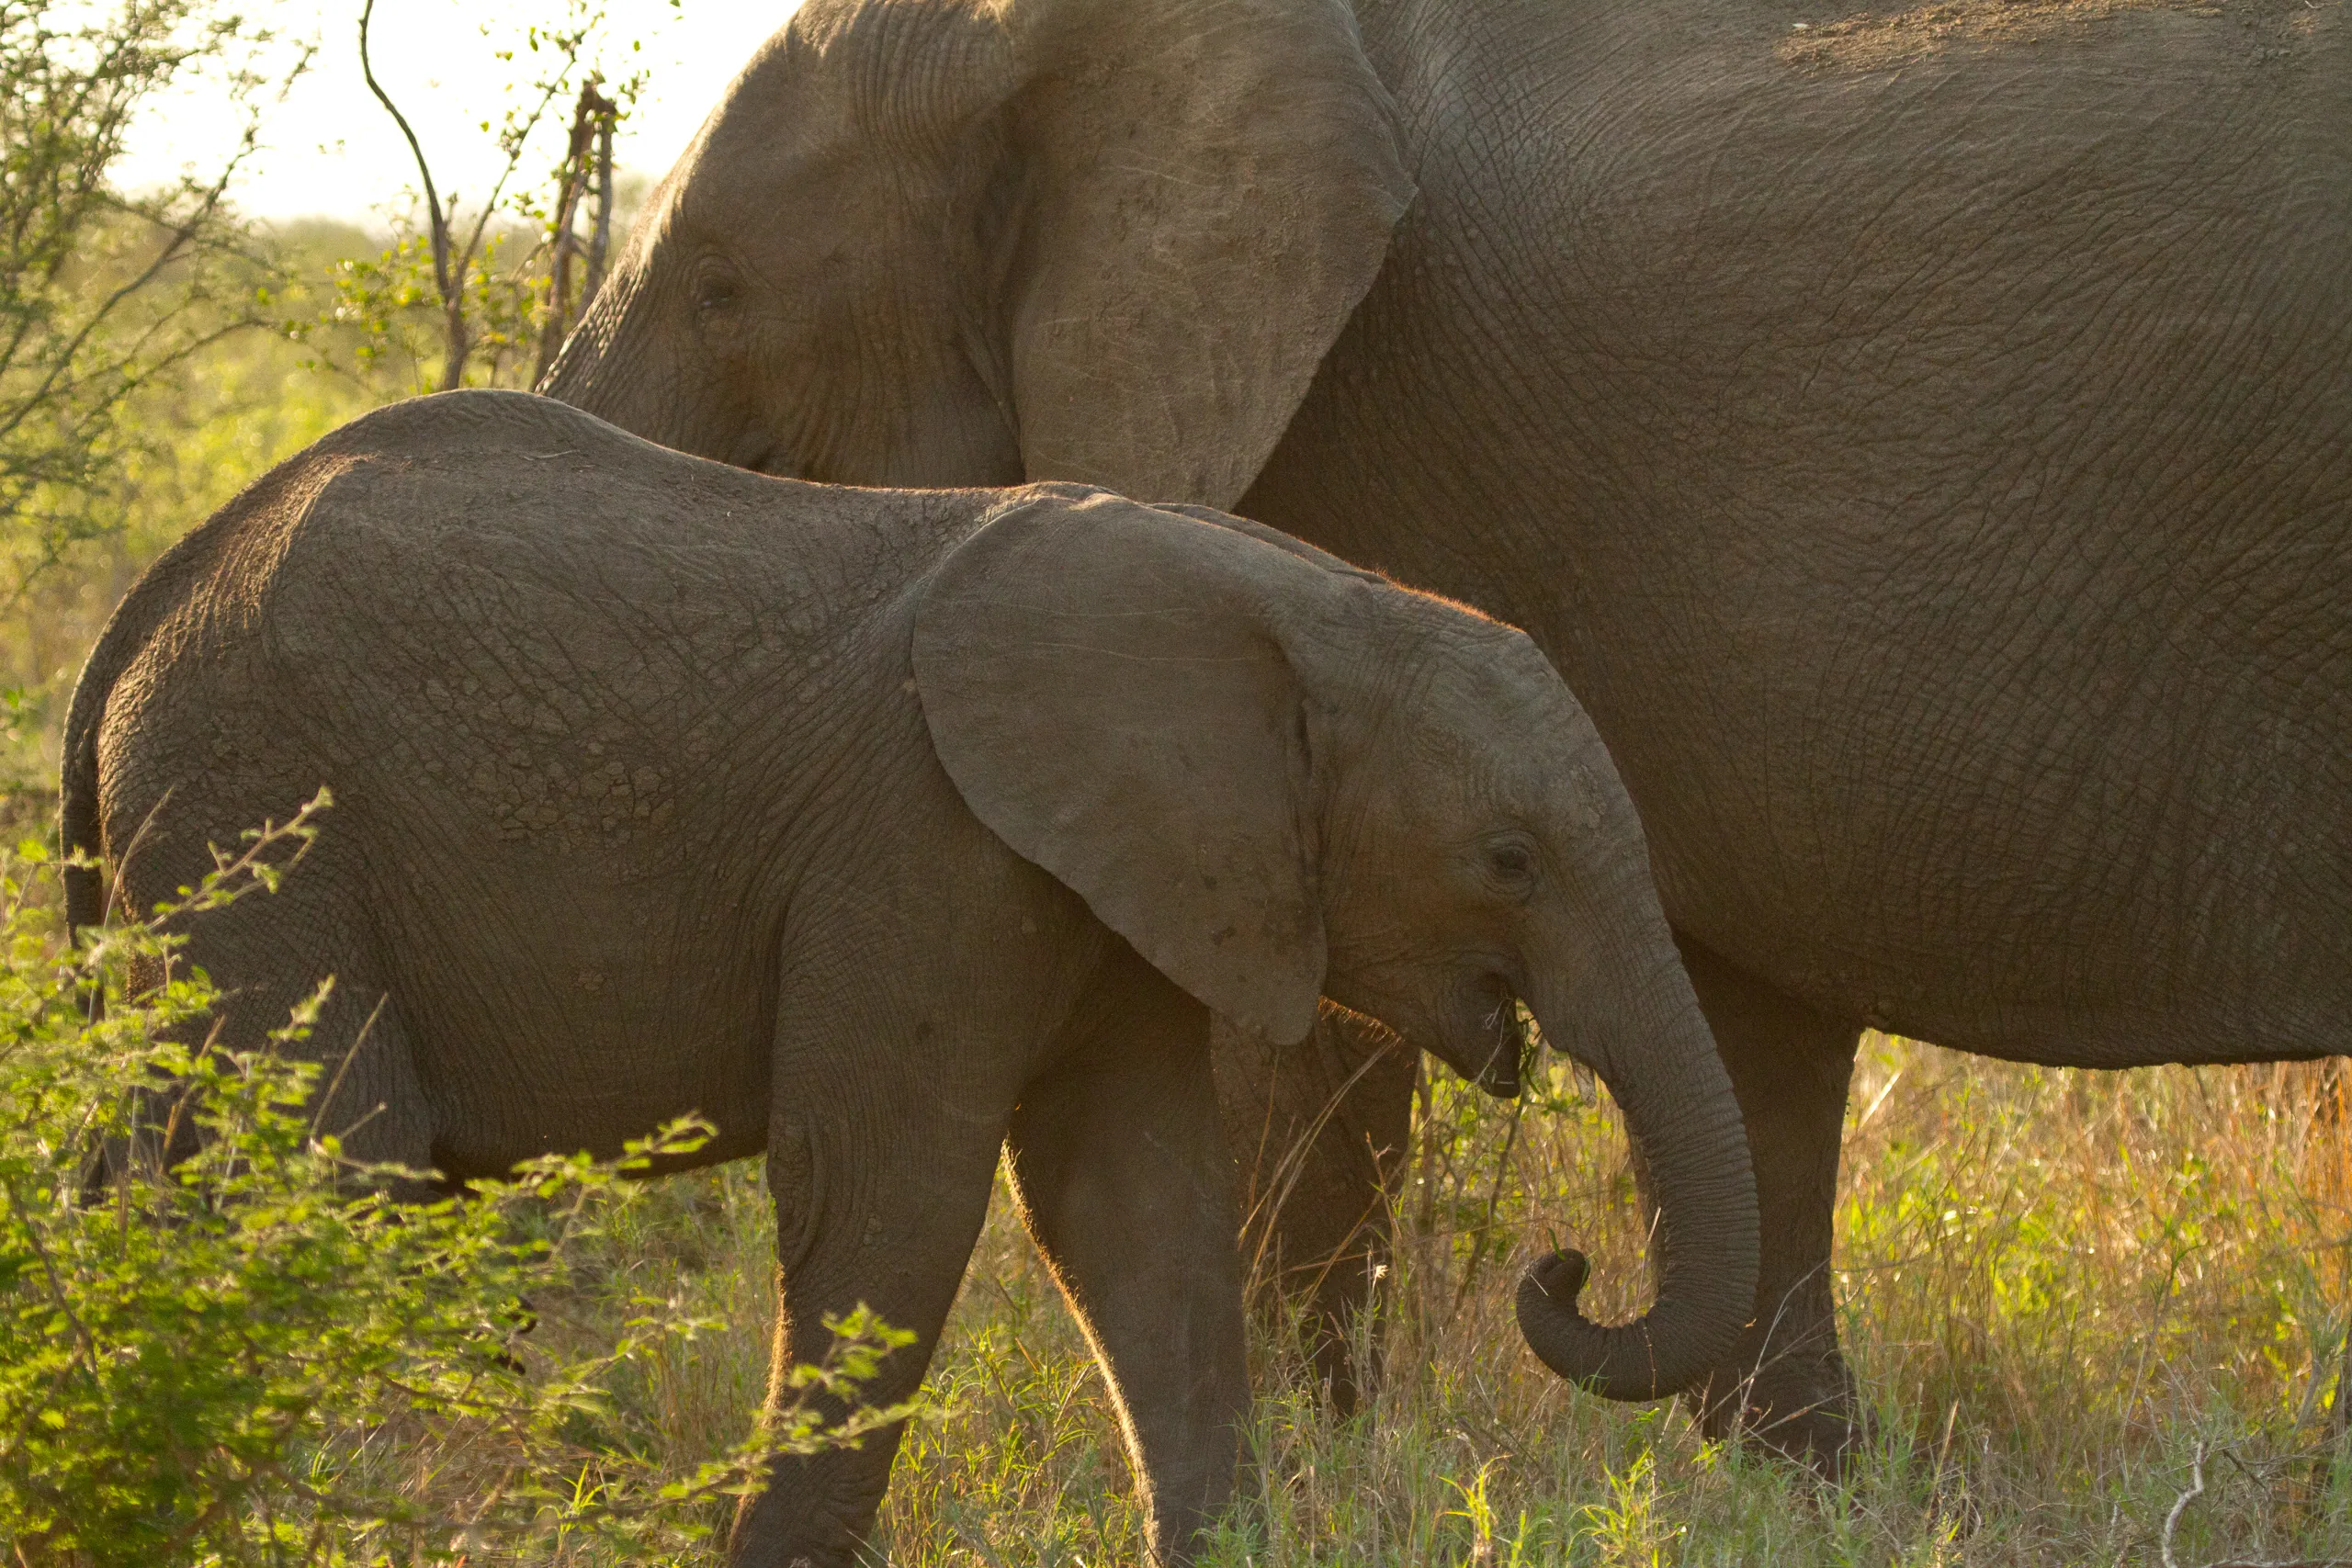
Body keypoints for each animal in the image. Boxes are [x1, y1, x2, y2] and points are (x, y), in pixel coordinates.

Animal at [60, 388, 1760, 1566]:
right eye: (1510, 858)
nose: (1565, 1267)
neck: (1297, 597)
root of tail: (146, 603)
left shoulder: (1122, 876)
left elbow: (1136, 1210)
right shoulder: (925, 848)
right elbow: (890, 1196)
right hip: (260, 822)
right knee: (340, 1185)